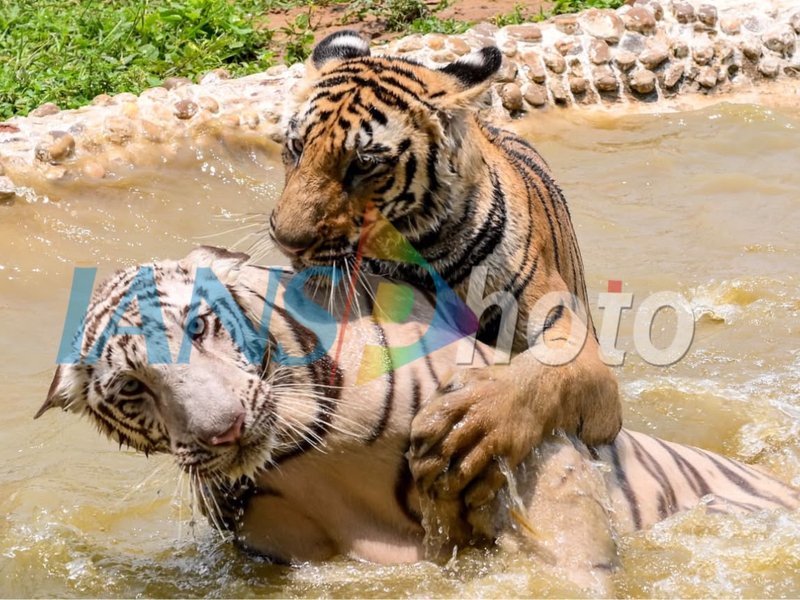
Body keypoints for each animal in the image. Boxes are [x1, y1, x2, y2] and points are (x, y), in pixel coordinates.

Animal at [37, 247, 799, 596]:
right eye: (133, 387)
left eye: (198, 327)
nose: (222, 431)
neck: (302, 458)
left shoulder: (532, 455)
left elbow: (571, 549)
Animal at [268, 31, 622, 532]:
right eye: (296, 147)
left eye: (364, 163)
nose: (285, 240)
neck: (418, 255)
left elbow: (547, 371)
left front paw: (474, 426)